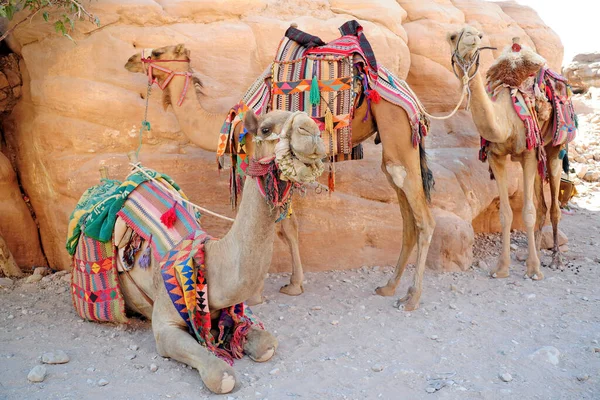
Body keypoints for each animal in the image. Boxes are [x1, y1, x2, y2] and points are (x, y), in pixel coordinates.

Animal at [126, 39, 436, 310]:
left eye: (157, 52)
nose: (130, 60)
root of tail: (411, 98)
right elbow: (289, 226)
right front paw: (294, 283)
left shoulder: (261, 161)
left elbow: (276, 224)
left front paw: (257, 294)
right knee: (407, 214)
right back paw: (389, 287)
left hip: (396, 125)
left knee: (423, 218)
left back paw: (411, 299)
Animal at [446, 26, 576, 280]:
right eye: (452, 36)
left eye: (479, 35)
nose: (471, 36)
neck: (505, 115)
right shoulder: (496, 156)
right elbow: (506, 214)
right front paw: (502, 268)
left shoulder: (528, 153)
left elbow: (527, 212)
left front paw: (534, 270)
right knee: (542, 206)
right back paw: (531, 254)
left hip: (555, 149)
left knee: (554, 207)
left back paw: (555, 259)